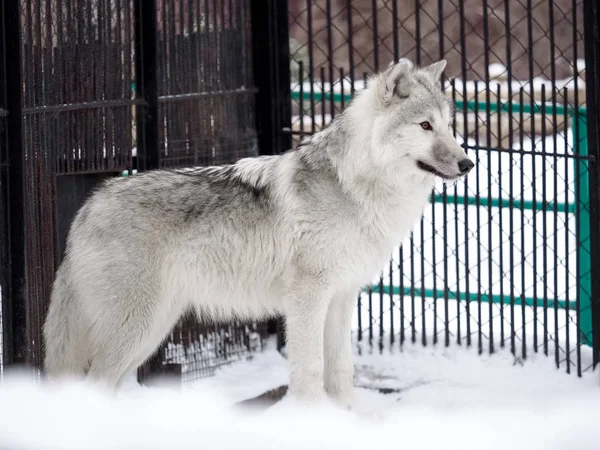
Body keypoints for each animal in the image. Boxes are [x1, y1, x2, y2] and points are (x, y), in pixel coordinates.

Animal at [42, 57, 474, 408]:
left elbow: (341, 368)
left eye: (449, 126)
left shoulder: (342, 295)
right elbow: (310, 368)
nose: (468, 163)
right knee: (93, 384)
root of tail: (89, 206)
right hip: (137, 328)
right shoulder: (308, 297)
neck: (355, 186)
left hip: (151, 331)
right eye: (425, 126)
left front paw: (350, 417)